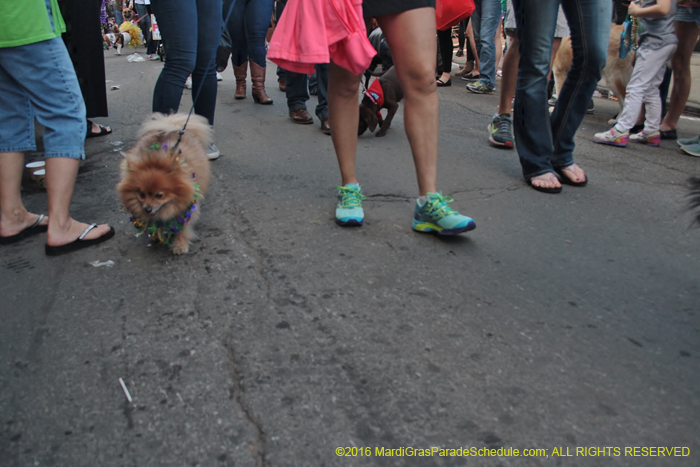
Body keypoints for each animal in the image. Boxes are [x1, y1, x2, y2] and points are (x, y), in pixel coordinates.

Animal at [119, 114, 212, 256]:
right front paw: (156, 236)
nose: (147, 209)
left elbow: (183, 227)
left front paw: (180, 245)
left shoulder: (186, 208)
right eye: (142, 194)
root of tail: (172, 125)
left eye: (159, 195)